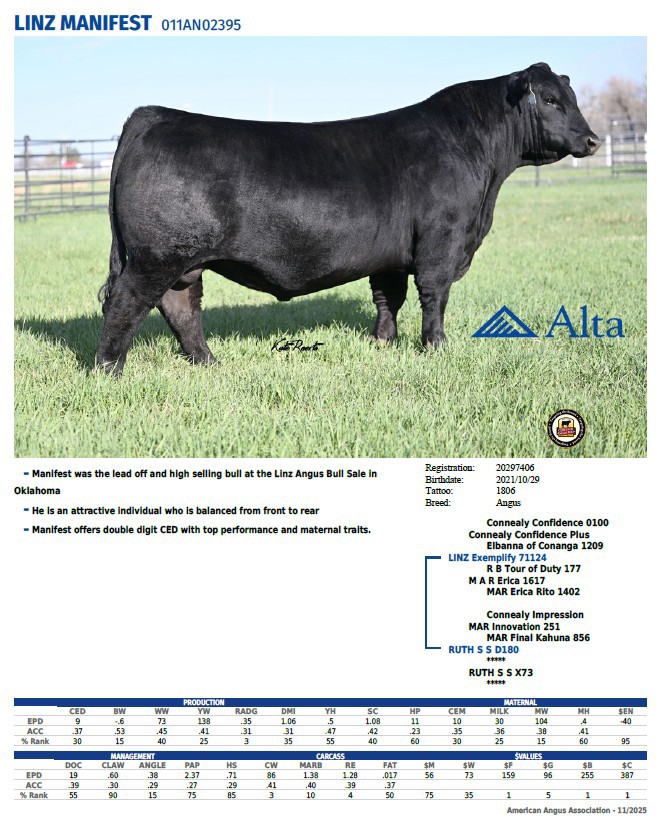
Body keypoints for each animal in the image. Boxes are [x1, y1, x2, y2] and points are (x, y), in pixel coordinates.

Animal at [96, 62, 600, 374]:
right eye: (550, 99)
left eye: (571, 95)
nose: (593, 140)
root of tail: (156, 115)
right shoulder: (442, 241)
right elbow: (433, 297)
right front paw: (436, 348)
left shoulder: (393, 254)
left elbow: (388, 298)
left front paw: (382, 343)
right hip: (157, 255)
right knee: (126, 302)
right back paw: (107, 371)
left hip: (183, 261)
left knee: (180, 306)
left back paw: (208, 363)